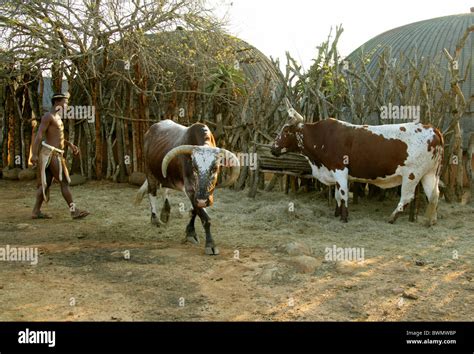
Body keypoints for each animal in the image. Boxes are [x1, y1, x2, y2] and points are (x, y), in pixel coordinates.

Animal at [136, 119, 241, 254]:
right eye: (194, 168)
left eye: (215, 168)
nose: (203, 199)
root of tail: (151, 129)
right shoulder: (191, 190)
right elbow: (204, 217)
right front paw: (210, 244)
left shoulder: (203, 194)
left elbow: (194, 211)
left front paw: (190, 233)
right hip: (149, 171)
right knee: (152, 192)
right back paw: (155, 219)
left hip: (164, 174)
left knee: (165, 189)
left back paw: (165, 212)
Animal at [270, 108, 444, 224]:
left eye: (286, 131)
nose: (273, 148)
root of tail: (432, 129)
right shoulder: (334, 172)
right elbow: (337, 195)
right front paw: (336, 213)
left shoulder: (340, 170)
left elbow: (343, 194)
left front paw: (344, 217)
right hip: (429, 173)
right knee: (434, 195)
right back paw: (431, 220)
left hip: (412, 174)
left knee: (407, 196)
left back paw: (392, 218)